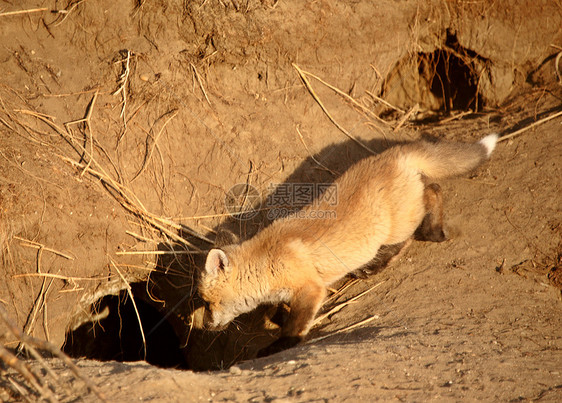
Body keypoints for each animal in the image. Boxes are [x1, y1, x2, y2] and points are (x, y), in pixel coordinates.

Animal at [197, 135, 494, 356]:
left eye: (208, 303)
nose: (205, 326)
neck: (269, 260)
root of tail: (394, 154)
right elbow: (280, 311)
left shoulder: (311, 288)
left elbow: (295, 326)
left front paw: (281, 345)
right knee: (431, 191)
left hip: (400, 223)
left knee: (431, 196)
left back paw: (430, 234)